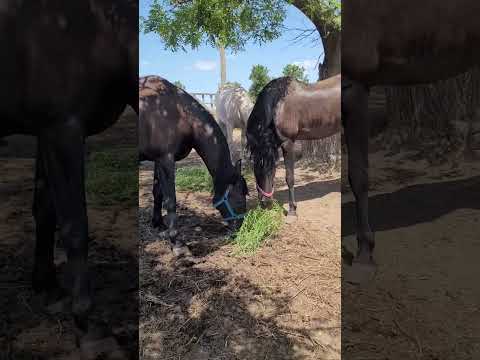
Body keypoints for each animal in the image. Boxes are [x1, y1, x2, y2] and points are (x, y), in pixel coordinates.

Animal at [0, 2, 139, 358]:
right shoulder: (62, 127)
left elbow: (46, 210)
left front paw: (47, 286)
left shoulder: (46, 132)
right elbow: (75, 226)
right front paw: (89, 326)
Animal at [137, 75, 246, 256]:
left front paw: (159, 224)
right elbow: (171, 200)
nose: (240, 227)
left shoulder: (158, 160)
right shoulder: (166, 160)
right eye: (239, 197)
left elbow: (157, 192)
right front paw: (177, 243)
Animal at [248, 74, 342, 218]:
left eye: (272, 167)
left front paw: (292, 210)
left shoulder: (288, 143)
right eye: (256, 168)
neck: (278, 105)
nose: (265, 202)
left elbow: (289, 178)